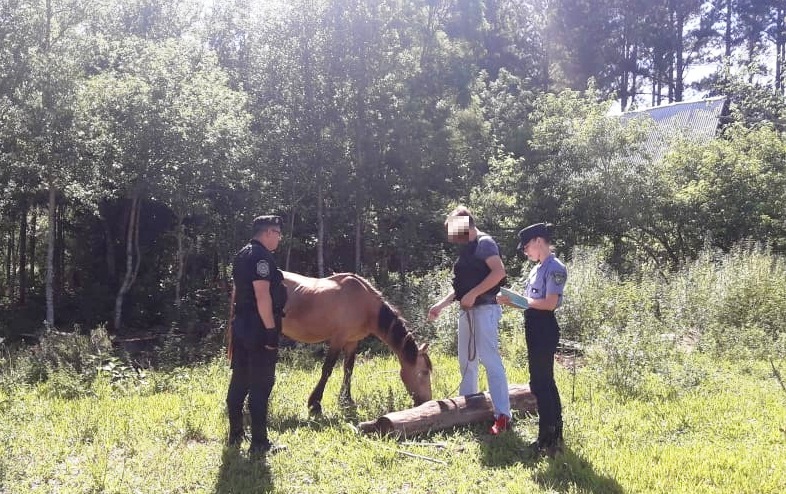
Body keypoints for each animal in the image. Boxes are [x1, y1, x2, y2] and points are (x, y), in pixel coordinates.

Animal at [279, 271, 433, 414]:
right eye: (424, 372)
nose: (427, 401)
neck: (365, 305)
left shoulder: (352, 341)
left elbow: (348, 369)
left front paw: (346, 400)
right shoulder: (338, 339)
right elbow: (327, 369)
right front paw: (315, 404)